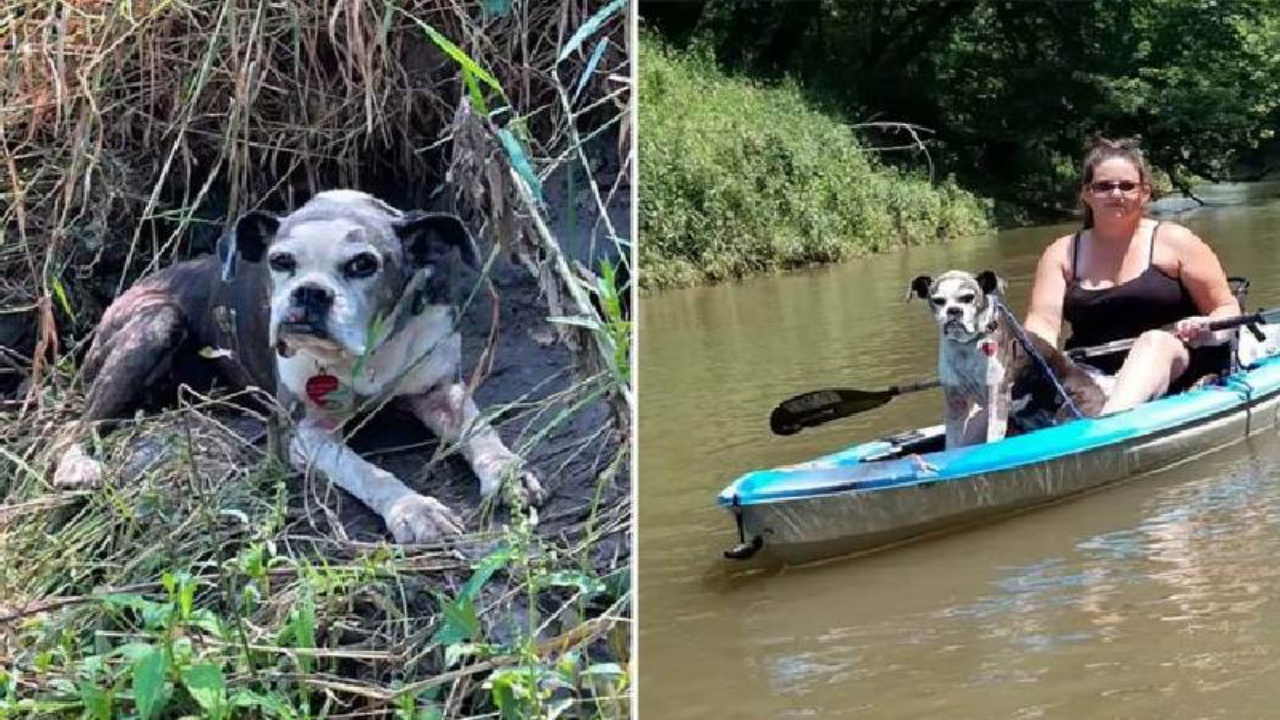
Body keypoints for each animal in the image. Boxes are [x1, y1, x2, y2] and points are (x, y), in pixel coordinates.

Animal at [53, 189, 545, 538]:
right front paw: (413, 509)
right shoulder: (308, 436)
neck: (366, 352)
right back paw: (76, 465)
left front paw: (508, 473)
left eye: (364, 264)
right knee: (75, 425)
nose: (309, 292)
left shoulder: (440, 391)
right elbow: (370, 473)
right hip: (156, 323)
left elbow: (481, 433)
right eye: (281, 261)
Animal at [906, 270, 1105, 448]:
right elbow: (953, 444)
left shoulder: (998, 396)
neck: (967, 347)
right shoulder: (955, 403)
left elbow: (993, 439)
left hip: (1068, 409)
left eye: (968, 297)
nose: (954, 311)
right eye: (938, 300)